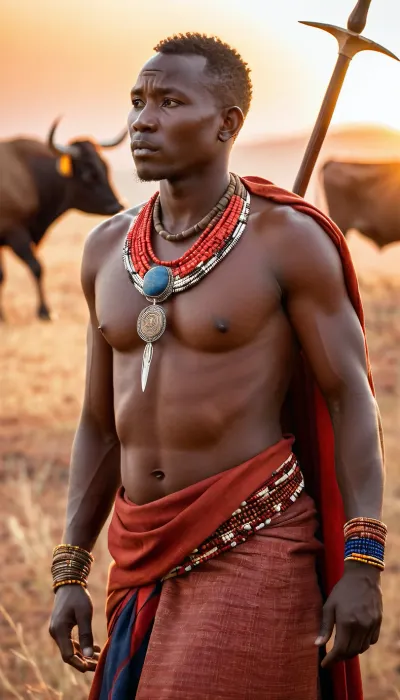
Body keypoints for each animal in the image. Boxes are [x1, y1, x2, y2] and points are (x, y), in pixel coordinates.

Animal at [0, 118, 127, 320]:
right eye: (89, 174)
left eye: (105, 168)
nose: (118, 206)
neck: (30, 173)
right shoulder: (15, 233)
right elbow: (36, 267)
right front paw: (45, 312)